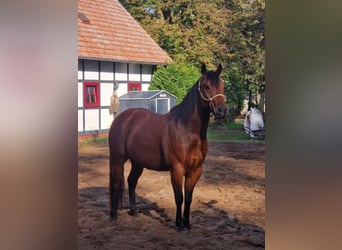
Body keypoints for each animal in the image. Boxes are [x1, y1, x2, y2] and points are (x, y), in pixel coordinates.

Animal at [109, 63, 227, 231]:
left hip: (138, 163)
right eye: (207, 86)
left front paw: (187, 223)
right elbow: (179, 197)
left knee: (131, 181)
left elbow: (189, 198)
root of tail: (121, 118)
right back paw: (113, 215)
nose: (222, 111)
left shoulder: (195, 171)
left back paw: (133, 211)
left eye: (222, 85)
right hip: (117, 159)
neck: (186, 129)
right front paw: (179, 225)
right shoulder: (176, 169)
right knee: (114, 184)